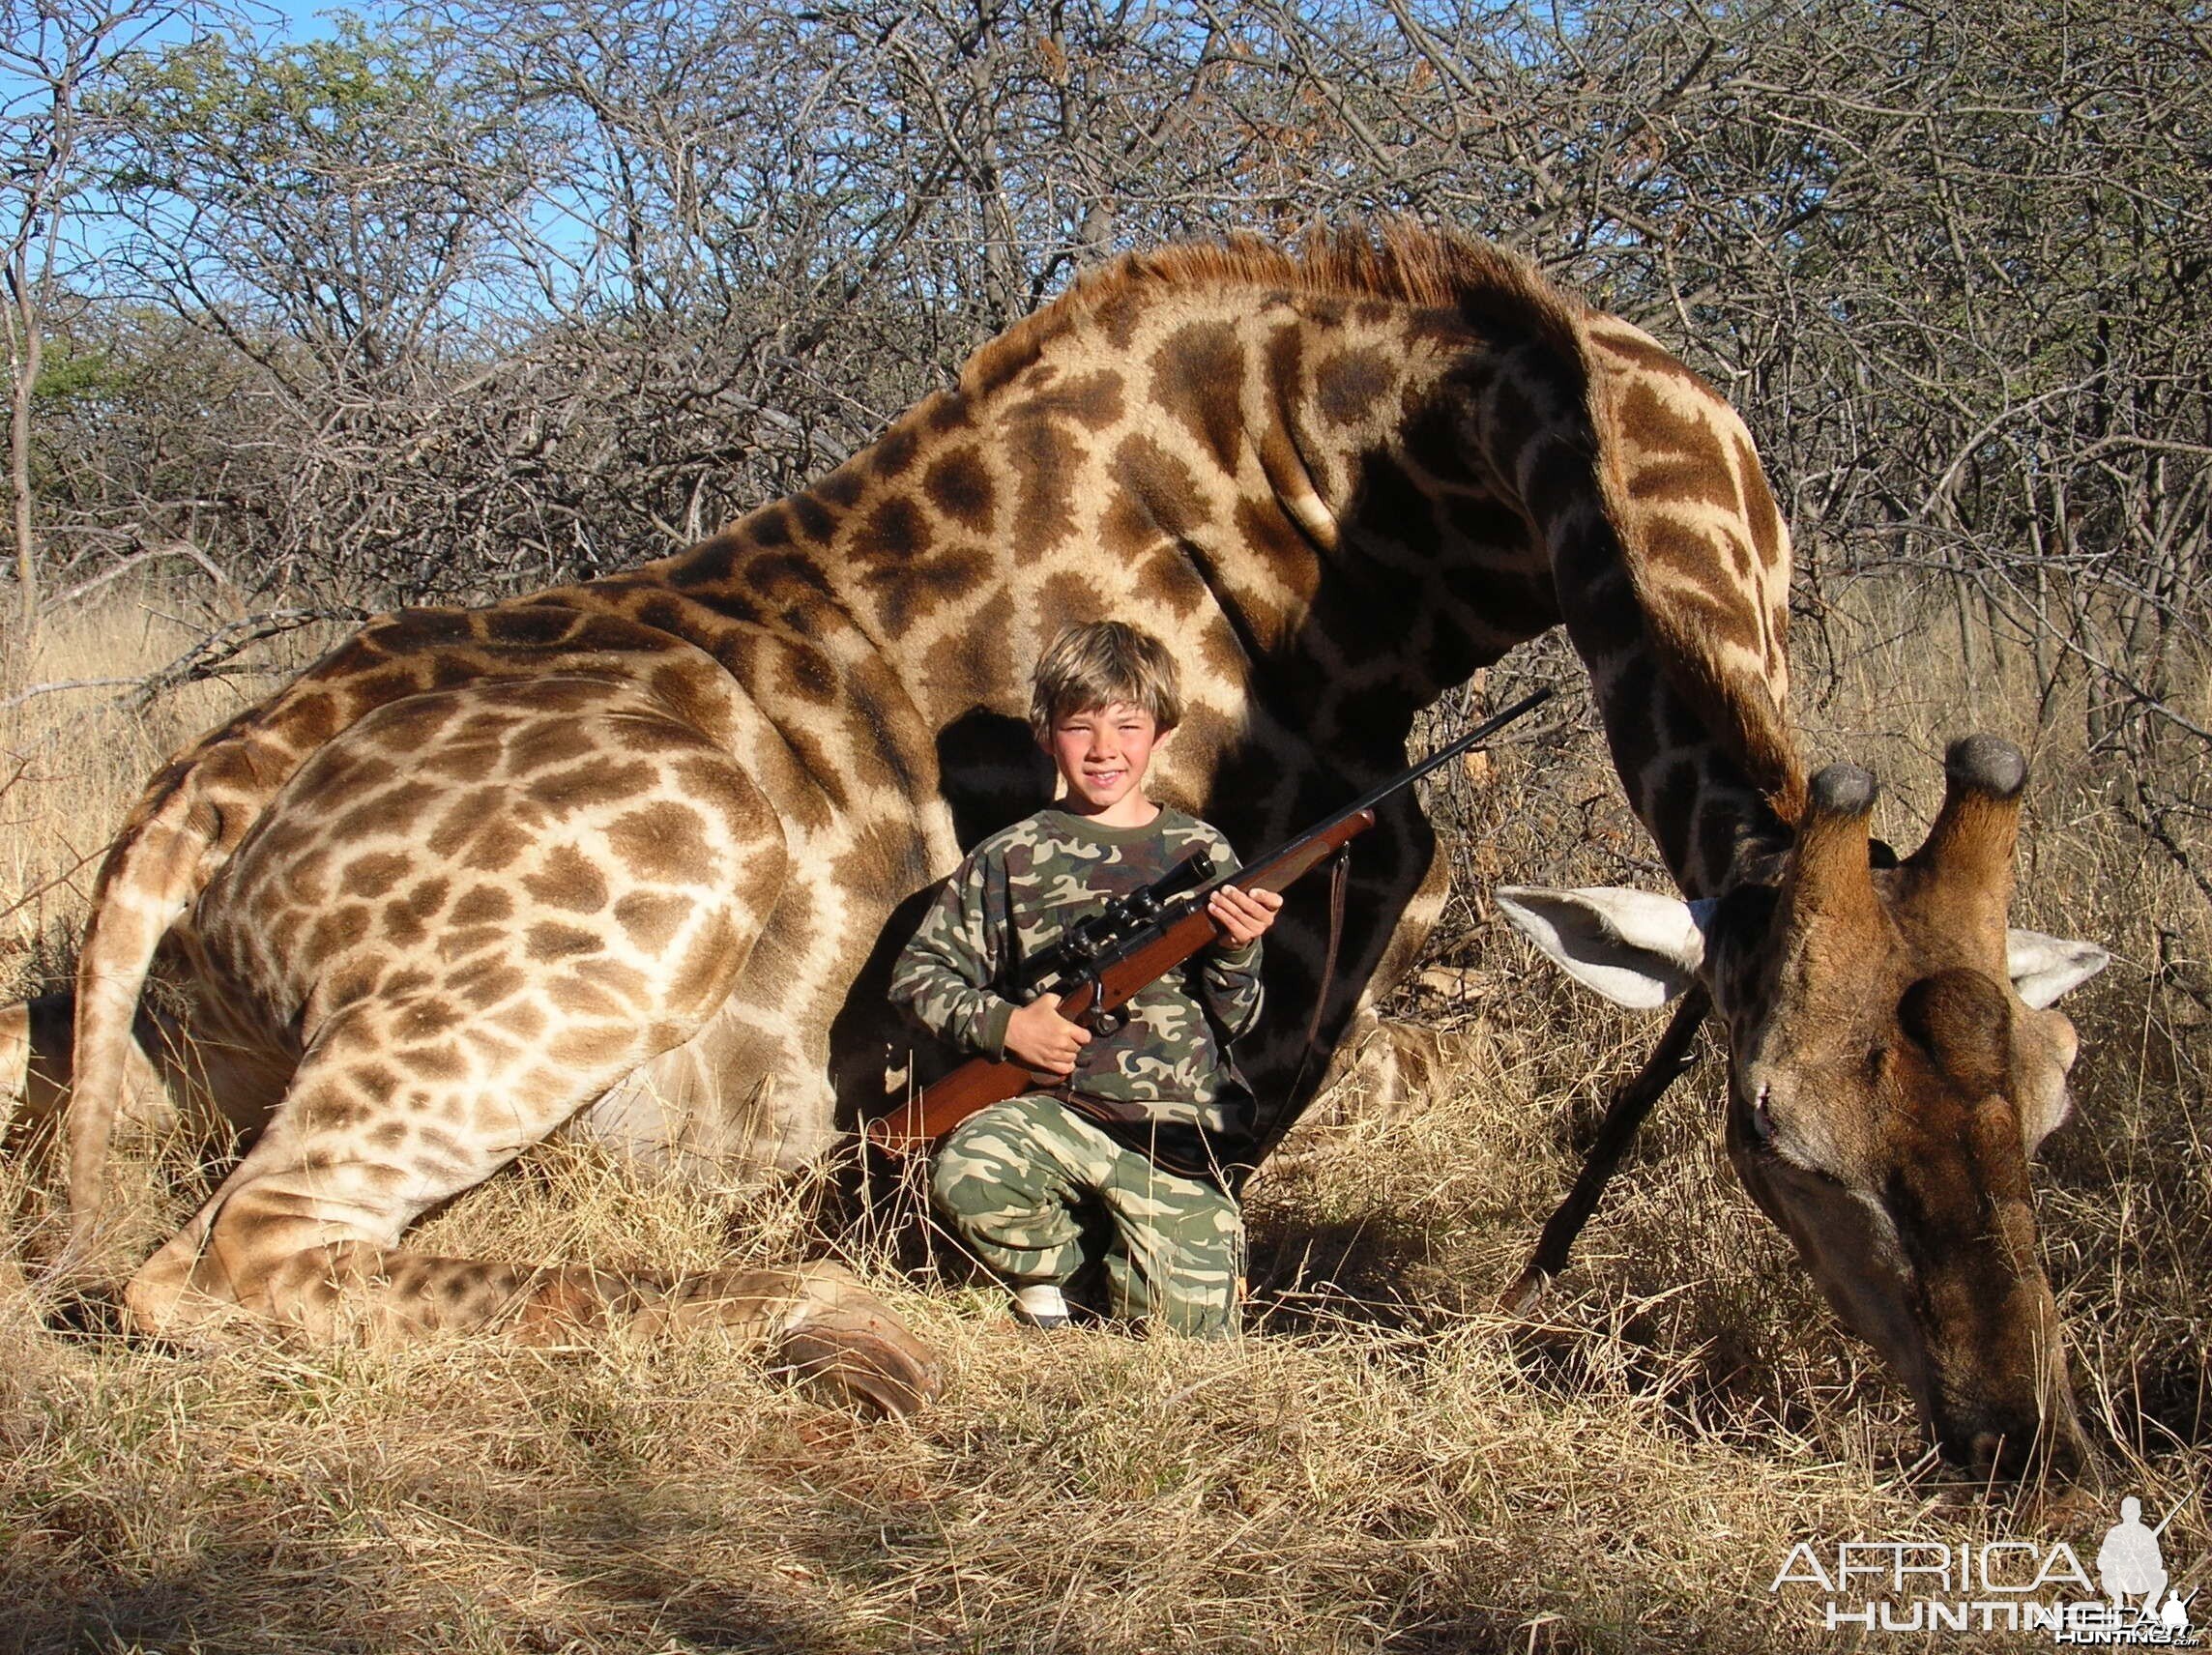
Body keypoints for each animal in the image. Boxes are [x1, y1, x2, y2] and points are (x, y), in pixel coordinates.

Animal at [4, 223, 2106, 1477]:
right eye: (1779, 1136)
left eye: (2054, 1105)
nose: (2019, 1440)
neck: (1396, 549)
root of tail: (193, 799)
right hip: (617, 923)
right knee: (220, 1258)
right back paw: (848, 1334)